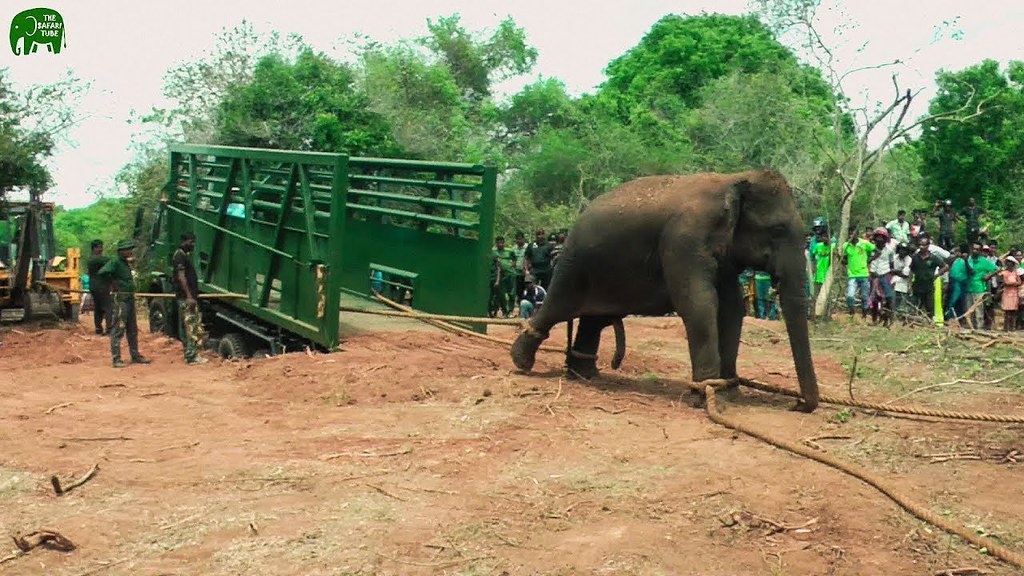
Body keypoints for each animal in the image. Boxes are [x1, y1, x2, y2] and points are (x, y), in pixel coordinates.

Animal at [510, 170, 820, 413]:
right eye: (777, 229)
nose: (797, 404)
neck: (732, 179)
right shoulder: (683, 240)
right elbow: (700, 304)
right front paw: (705, 398)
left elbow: (732, 308)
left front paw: (729, 394)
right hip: (574, 265)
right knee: (558, 308)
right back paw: (522, 362)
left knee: (594, 320)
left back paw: (585, 375)